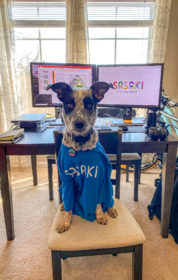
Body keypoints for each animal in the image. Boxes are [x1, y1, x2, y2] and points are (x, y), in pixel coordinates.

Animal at [47, 81, 118, 232]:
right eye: (69, 104)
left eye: (89, 104)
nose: (79, 123)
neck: (80, 143)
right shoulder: (67, 180)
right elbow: (69, 205)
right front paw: (65, 222)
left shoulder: (98, 179)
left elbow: (98, 203)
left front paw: (100, 216)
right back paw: (63, 206)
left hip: (108, 184)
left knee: (108, 199)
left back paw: (111, 210)